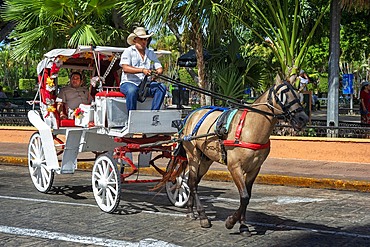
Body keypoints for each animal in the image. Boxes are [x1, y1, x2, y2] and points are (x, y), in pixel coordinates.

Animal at [179, 75, 310, 233]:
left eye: (298, 94)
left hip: (205, 159)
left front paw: (243, 225)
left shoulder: (255, 168)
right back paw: (203, 216)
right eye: (282, 95)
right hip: (193, 155)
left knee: (194, 182)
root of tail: (191, 114)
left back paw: (190, 210)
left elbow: (247, 197)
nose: (303, 118)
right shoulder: (235, 167)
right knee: (192, 183)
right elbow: (244, 196)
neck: (249, 128)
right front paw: (230, 222)